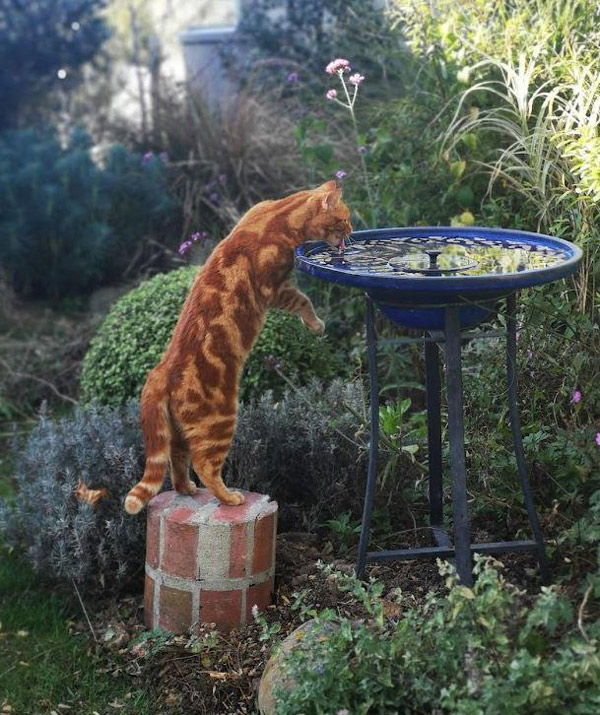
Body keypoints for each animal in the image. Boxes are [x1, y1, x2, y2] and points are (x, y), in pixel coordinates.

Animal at [126, 182, 352, 512]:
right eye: (345, 219)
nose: (352, 230)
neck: (279, 216)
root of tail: (160, 373)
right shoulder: (275, 289)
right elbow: (304, 301)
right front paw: (316, 325)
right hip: (219, 421)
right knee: (205, 466)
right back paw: (230, 497)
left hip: (178, 433)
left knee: (176, 461)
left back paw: (187, 489)